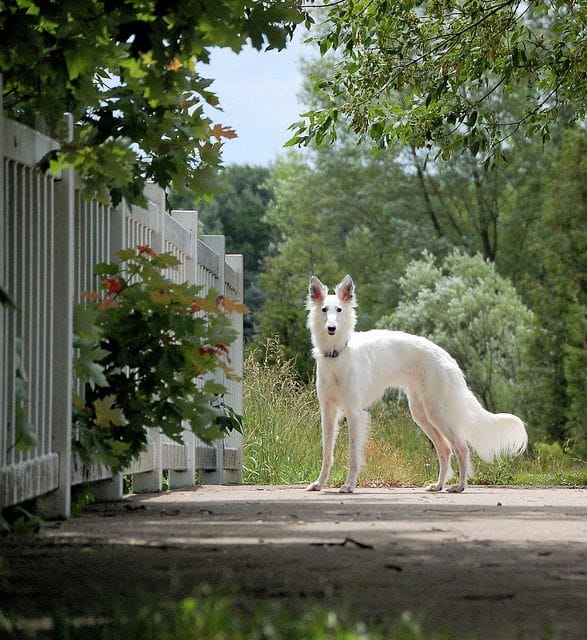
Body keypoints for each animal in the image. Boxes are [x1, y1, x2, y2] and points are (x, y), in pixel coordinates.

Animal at [308, 276, 528, 496]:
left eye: (339, 310)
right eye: (324, 309)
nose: (331, 328)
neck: (338, 354)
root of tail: (448, 358)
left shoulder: (355, 413)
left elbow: (353, 455)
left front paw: (349, 485)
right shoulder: (328, 412)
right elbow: (327, 454)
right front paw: (319, 483)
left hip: (438, 412)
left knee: (461, 447)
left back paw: (460, 486)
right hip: (422, 413)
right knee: (445, 449)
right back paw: (438, 485)